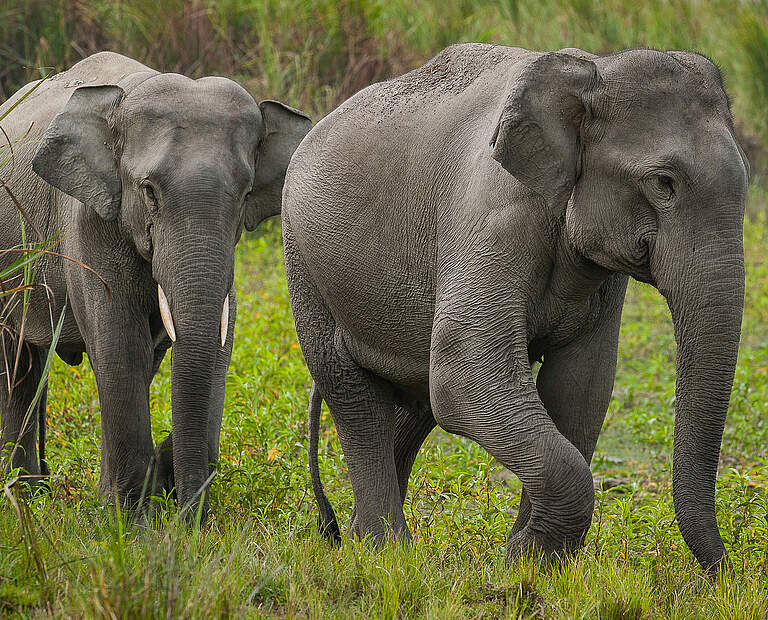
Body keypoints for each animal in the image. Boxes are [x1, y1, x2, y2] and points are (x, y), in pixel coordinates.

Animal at [0, 50, 312, 520]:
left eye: (245, 195)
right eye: (149, 191)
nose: (188, 519)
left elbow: (212, 337)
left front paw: (124, 503)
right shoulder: (87, 223)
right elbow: (118, 343)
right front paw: (128, 520)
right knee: (16, 365)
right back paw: (25, 496)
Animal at [284, 44, 752, 576]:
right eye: (663, 183)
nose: (727, 573)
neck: (592, 72)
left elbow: (580, 386)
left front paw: (527, 563)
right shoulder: (494, 215)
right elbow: (466, 375)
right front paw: (521, 562)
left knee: (415, 402)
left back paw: (368, 542)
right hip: (304, 265)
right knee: (353, 396)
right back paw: (386, 554)